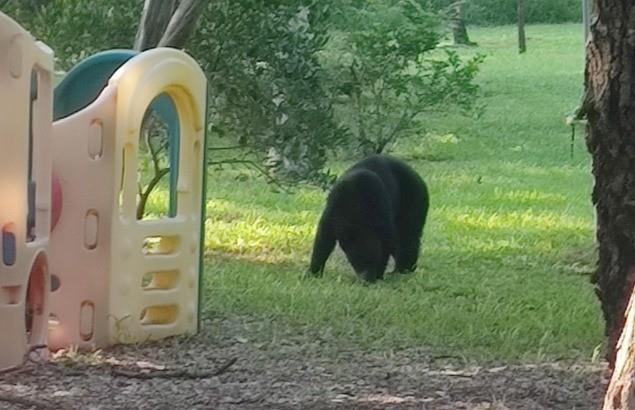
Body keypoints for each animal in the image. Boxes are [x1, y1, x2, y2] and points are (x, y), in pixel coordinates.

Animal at [310, 154, 430, 282]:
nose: (366, 278)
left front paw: (379, 274)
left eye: (372, 260)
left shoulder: (378, 204)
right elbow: (323, 238)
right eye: (356, 261)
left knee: (408, 235)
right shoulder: (333, 207)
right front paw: (313, 272)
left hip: (414, 196)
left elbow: (386, 238)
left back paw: (404, 269)